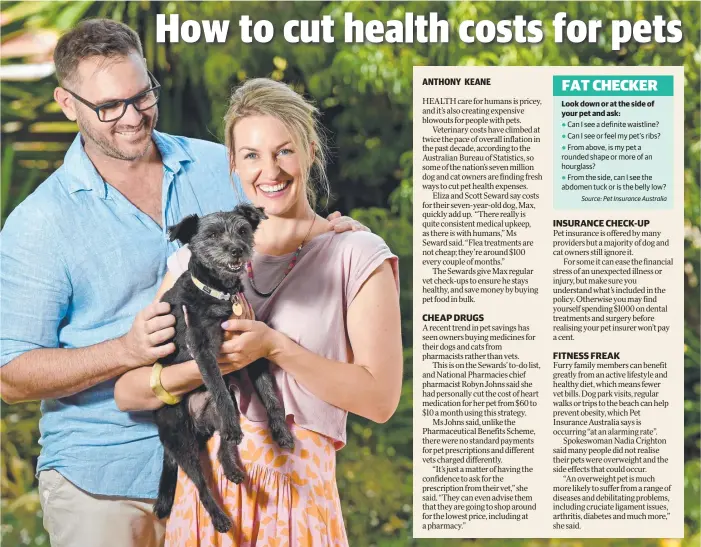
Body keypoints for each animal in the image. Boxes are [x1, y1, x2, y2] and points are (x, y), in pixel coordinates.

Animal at [152, 203, 294, 532]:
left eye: (242, 230)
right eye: (212, 235)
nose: (237, 250)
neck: (218, 292)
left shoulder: (252, 347)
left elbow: (270, 394)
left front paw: (280, 430)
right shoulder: (201, 347)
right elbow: (216, 384)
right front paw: (233, 424)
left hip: (214, 415)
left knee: (221, 449)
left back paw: (232, 468)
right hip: (180, 438)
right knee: (201, 484)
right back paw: (219, 517)